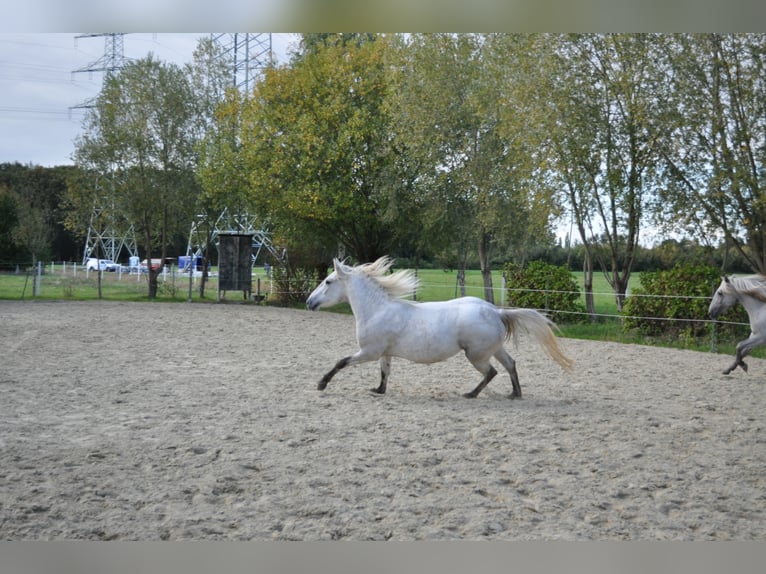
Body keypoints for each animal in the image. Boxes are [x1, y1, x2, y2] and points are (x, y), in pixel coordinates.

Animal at [306, 257, 573, 399]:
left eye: (328, 281)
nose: (309, 302)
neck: (377, 309)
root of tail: (496, 311)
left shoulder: (368, 352)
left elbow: (341, 362)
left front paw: (321, 384)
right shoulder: (384, 353)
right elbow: (385, 373)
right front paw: (378, 390)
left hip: (476, 355)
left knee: (491, 372)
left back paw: (471, 394)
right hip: (494, 349)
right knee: (510, 365)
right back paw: (514, 394)